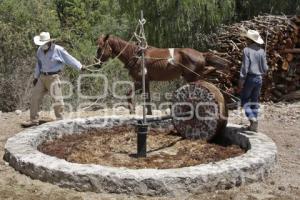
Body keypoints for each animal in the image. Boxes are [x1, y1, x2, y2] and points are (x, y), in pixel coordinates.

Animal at [96, 34, 230, 114]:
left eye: (100, 48)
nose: (96, 63)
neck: (136, 55)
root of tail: (201, 54)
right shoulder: (146, 82)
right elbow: (147, 98)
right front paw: (148, 114)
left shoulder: (139, 81)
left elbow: (128, 93)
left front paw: (132, 111)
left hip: (192, 77)